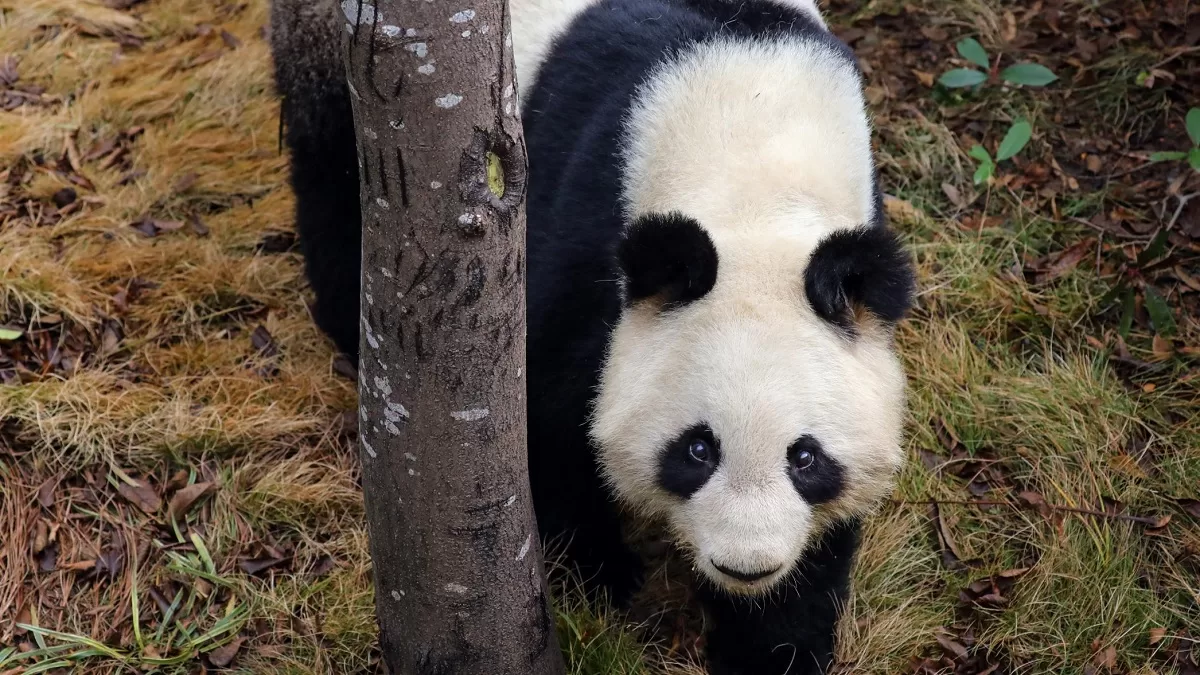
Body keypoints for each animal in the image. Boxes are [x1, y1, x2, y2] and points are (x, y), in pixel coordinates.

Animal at [269, 0, 915, 673]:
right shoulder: (585, 228)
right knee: (337, 173)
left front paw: (771, 646)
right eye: (697, 449)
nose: (744, 565)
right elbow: (551, 416)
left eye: (805, 458)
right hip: (333, 54)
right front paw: (605, 580)